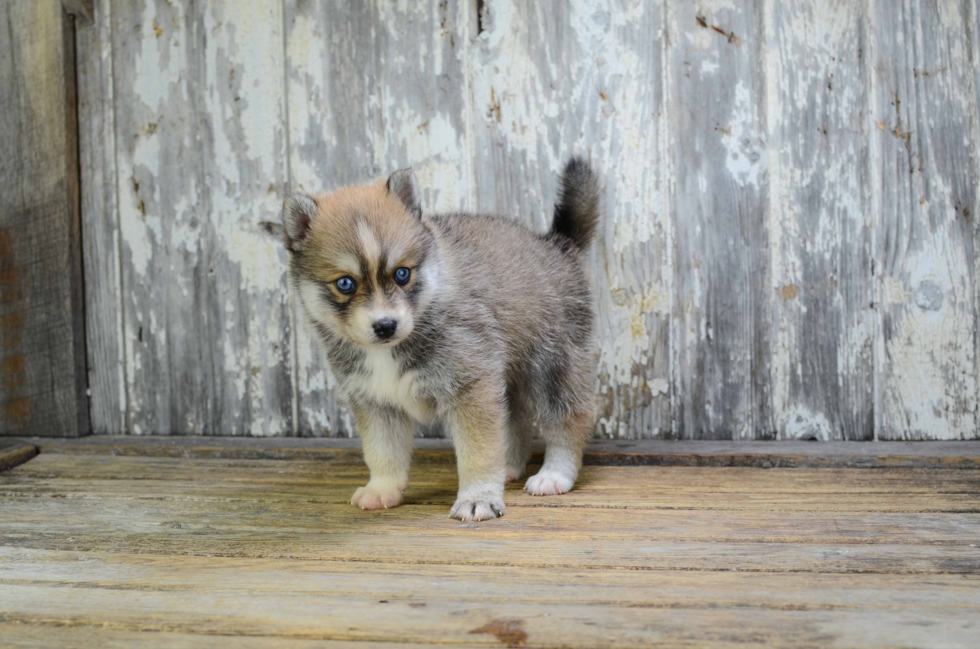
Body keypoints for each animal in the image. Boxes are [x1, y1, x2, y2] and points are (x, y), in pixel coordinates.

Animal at [278, 158, 596, 520]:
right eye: (345, 283)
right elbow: (382, 451)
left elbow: (478, 451)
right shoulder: (375, 400)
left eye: (402, 274)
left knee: (568, 420)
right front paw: (382, 488)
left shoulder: (470, 386)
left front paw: (478, 497)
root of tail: (557, 244)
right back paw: (510, 468)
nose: (385, 325)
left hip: (553, 368)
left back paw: (554, 474)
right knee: (514, 421)